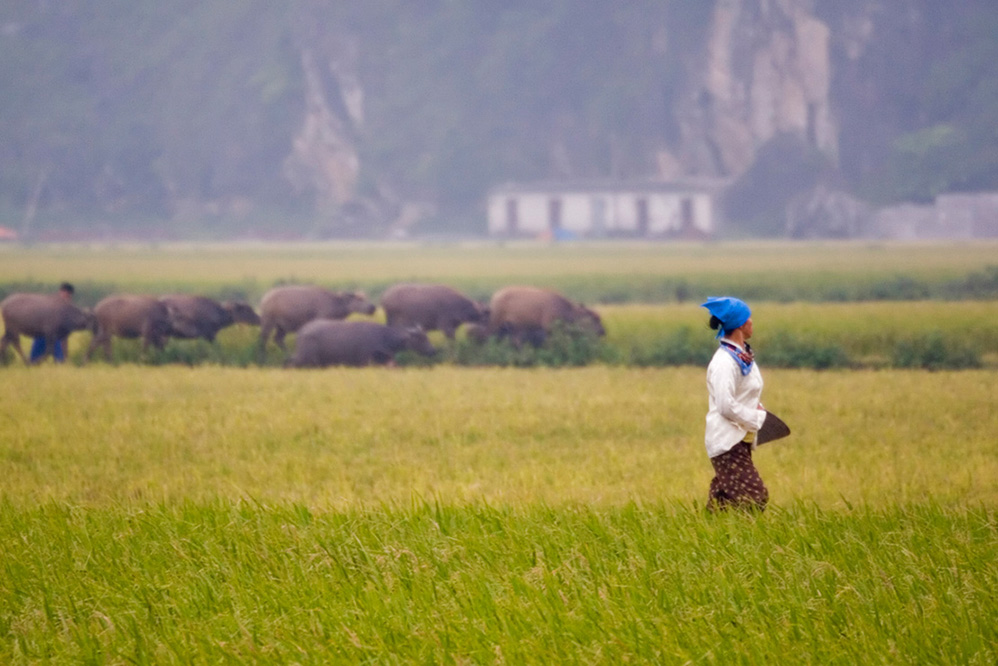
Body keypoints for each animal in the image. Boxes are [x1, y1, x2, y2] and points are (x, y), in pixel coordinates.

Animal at [284, 318, 436, 366]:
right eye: (421, 338)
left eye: (427, 337)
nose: (432, 351)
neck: (383, 337)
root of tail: (301, 332)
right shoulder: (364, 360)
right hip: (305, 358)